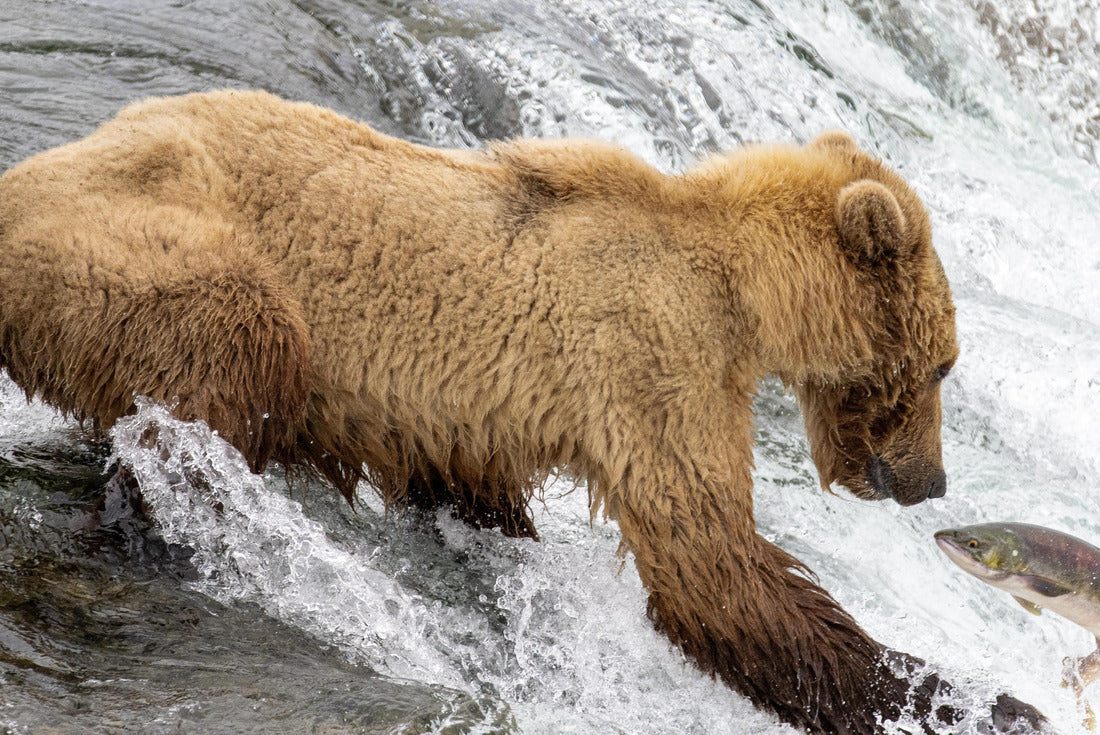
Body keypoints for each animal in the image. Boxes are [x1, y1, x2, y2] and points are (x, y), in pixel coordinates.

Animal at [0, 90, 1042, 733]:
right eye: (945, 363)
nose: (930, 480)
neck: (744, 294)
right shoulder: (652, 361)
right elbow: (711, 565)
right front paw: (982, 700)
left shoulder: (480, 416)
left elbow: (476, 489)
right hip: (137, 249)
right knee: (237, 347)